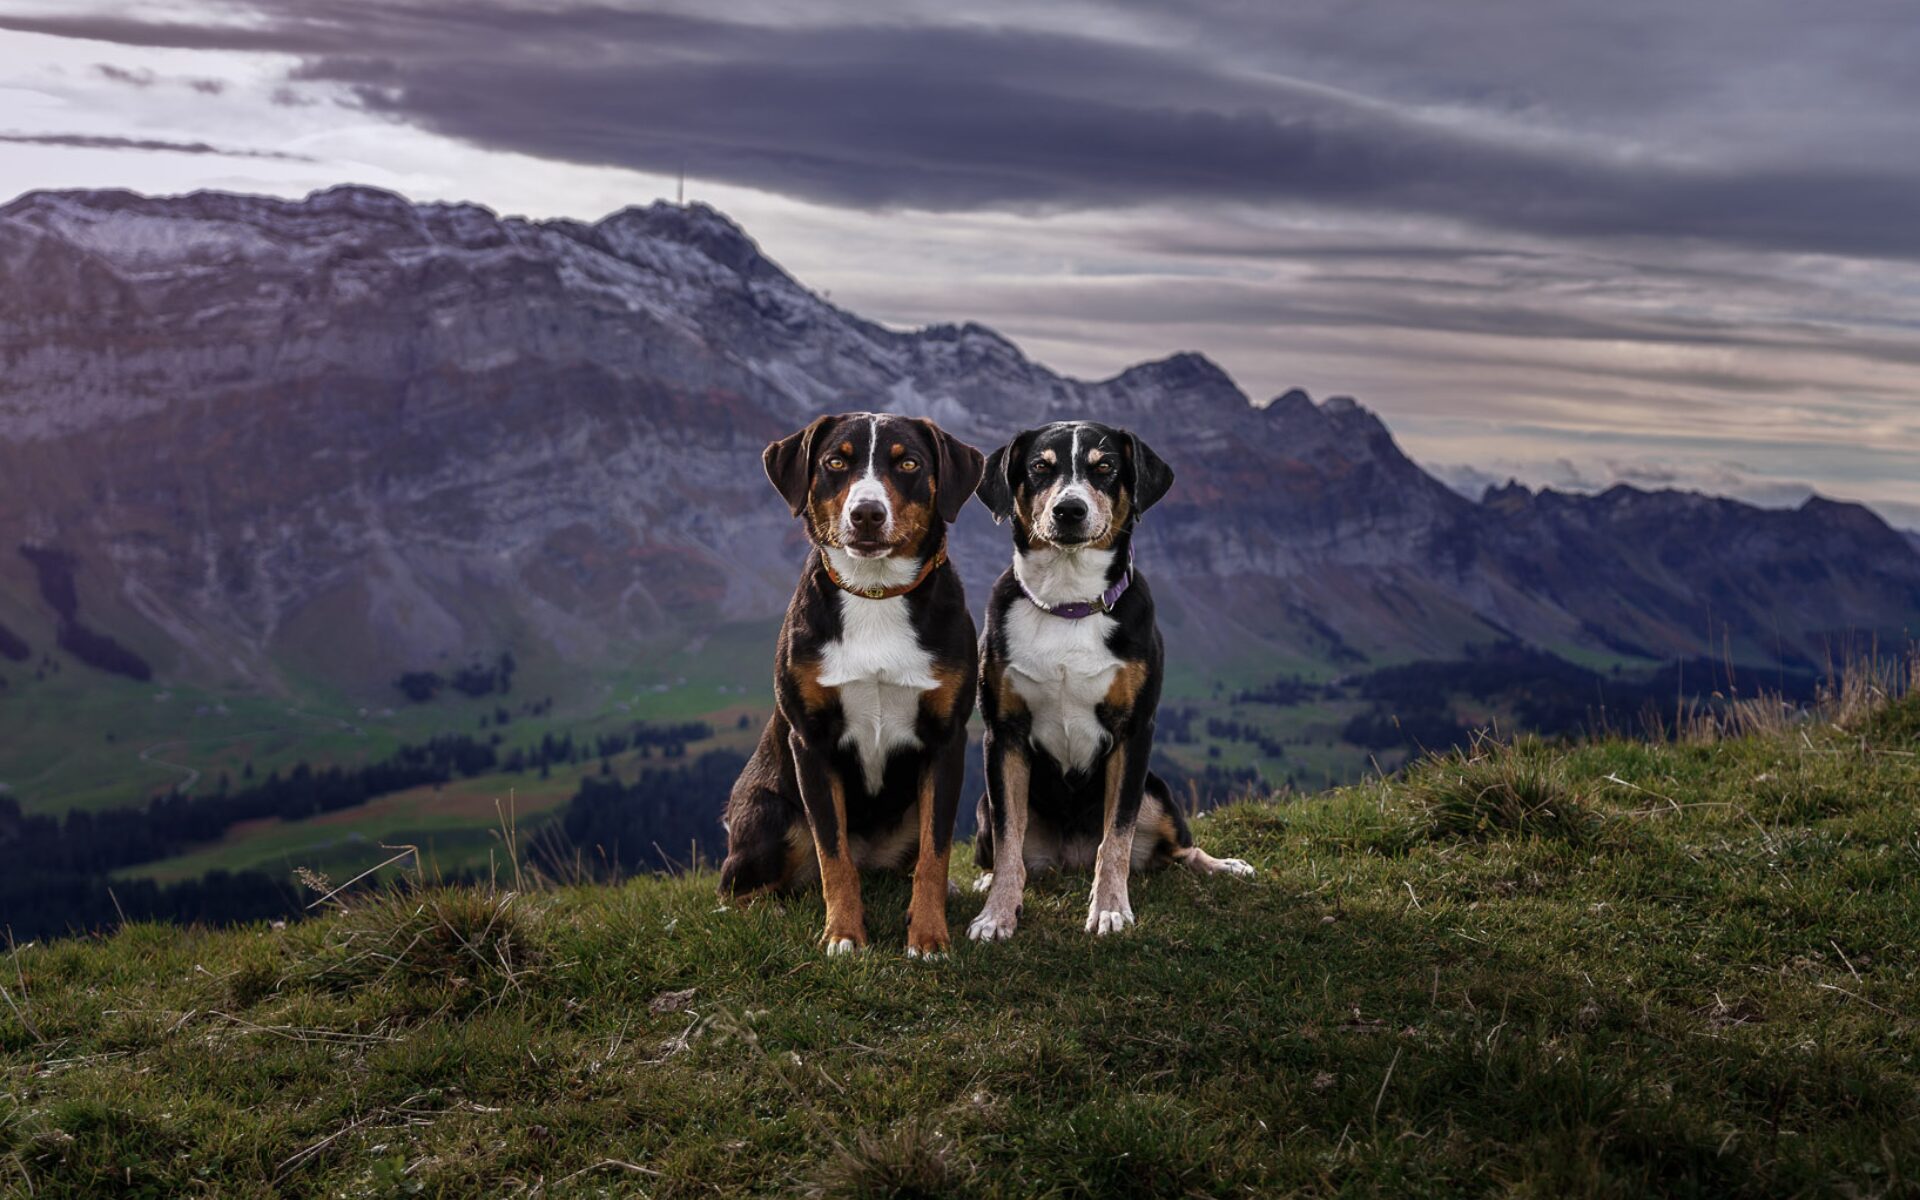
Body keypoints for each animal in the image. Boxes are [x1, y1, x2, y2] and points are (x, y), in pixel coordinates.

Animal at [721, 410, 990, 956]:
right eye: (835, 462)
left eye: (908, 463)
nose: (867, 513)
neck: (876, 593)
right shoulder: (811, 742)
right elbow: (834, 854)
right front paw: (844, 934)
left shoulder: (946, 740)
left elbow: (935, 854)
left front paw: (928, 936)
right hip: (769, 814)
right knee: (736, 888)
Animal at [967, 416, 1251, 940]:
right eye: (1040, 467)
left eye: (1105, 468)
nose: (1069, 510)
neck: (1068, 604)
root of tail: (1070, 858)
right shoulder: (1003, 734)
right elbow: (1009, 839)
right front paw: (996, 914)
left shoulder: (1134, 732)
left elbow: (1115, 836)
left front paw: (1110, 909)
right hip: (980, 807)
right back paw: (986, 881)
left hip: (1158, 794)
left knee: (1180, 850)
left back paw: (1225, 866)